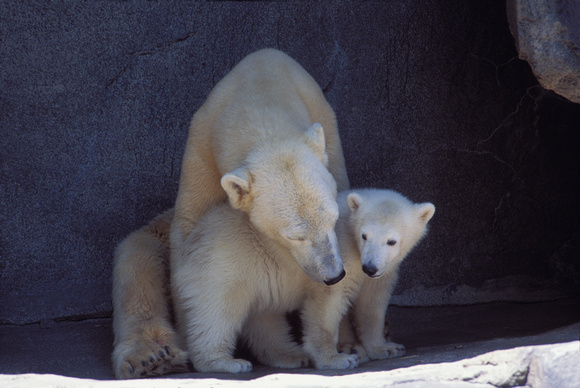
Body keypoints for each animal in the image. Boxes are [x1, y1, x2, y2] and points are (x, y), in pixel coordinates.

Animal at [112, 49, 348, 378]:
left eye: (332, 220)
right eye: (295, 236)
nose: (334, 275)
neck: (260, 93)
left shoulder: (327, 133)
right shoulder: (202, 149)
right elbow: (190, 237)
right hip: (150, 239)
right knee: (139, 268)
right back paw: (153, 355)